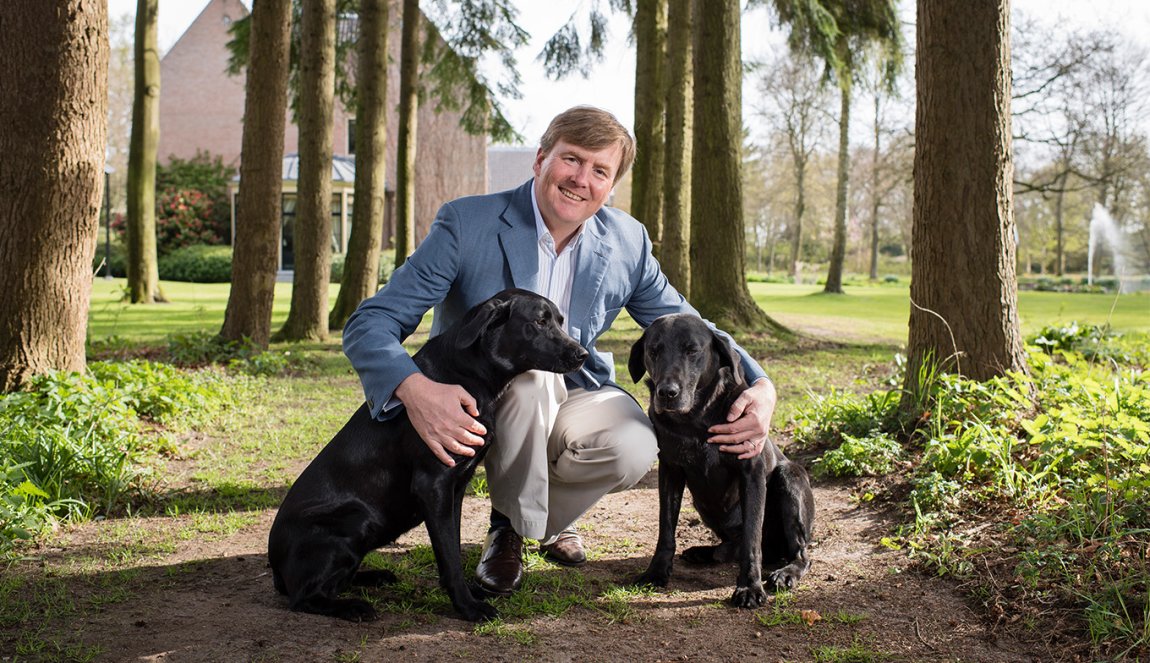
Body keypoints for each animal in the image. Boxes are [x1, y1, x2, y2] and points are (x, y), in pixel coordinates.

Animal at [266, 289, 584, 620]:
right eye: (539, 322)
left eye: (560, 321)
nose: (583, 354)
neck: (468, 372)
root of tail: (275, 566)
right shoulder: (433, 485)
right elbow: (450, 558)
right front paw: (468, 606)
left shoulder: (456, 489)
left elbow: (452, 546)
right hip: (356, 520)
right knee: (305, 597)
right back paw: (354, 606)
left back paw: (375, 576)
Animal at [630, 312, 818, 606]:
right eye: (654, 351)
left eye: (692, 350)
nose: (667, 393)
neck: (695, 419)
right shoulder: (670, 471)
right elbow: (666, 529)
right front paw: (656, 571)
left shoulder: (752, 472)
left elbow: (752, 537)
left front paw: (749, 587)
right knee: (731, 548)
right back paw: (706, 552)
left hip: (790, 478)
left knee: (800, 554)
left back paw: (786, 573)